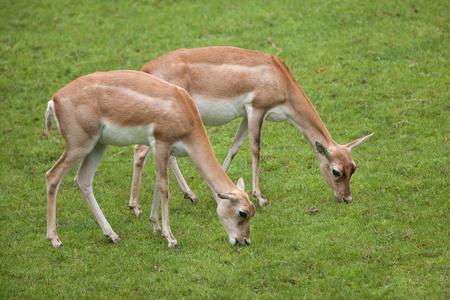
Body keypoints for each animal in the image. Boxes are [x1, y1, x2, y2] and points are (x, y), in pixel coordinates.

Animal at [45, 70, 256, 248]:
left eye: (253, 212)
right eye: (242, 213)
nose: (245, 240)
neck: (183, 109)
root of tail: (54, 99)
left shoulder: (163, 150)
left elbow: (157, 183)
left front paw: (156, 226)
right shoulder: (162, 144)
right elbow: (164, 187)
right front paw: (171, 238)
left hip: (98, 145)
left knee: (83, 179)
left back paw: (112, 235)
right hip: (79, 146)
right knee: (53, 176)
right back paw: (55, 239)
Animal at [127, 46, 372, 213]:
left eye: (353, 168)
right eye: (336, 171)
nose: (347, 199)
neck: (279, 77)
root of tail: (147, 68)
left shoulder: (245, 116)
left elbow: (235, 147)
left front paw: (218, 194)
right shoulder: (257, 109)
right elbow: (255, 149)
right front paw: (260, 197)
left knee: (166, 156)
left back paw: (191, 195)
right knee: (140, 151)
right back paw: (135, 207)